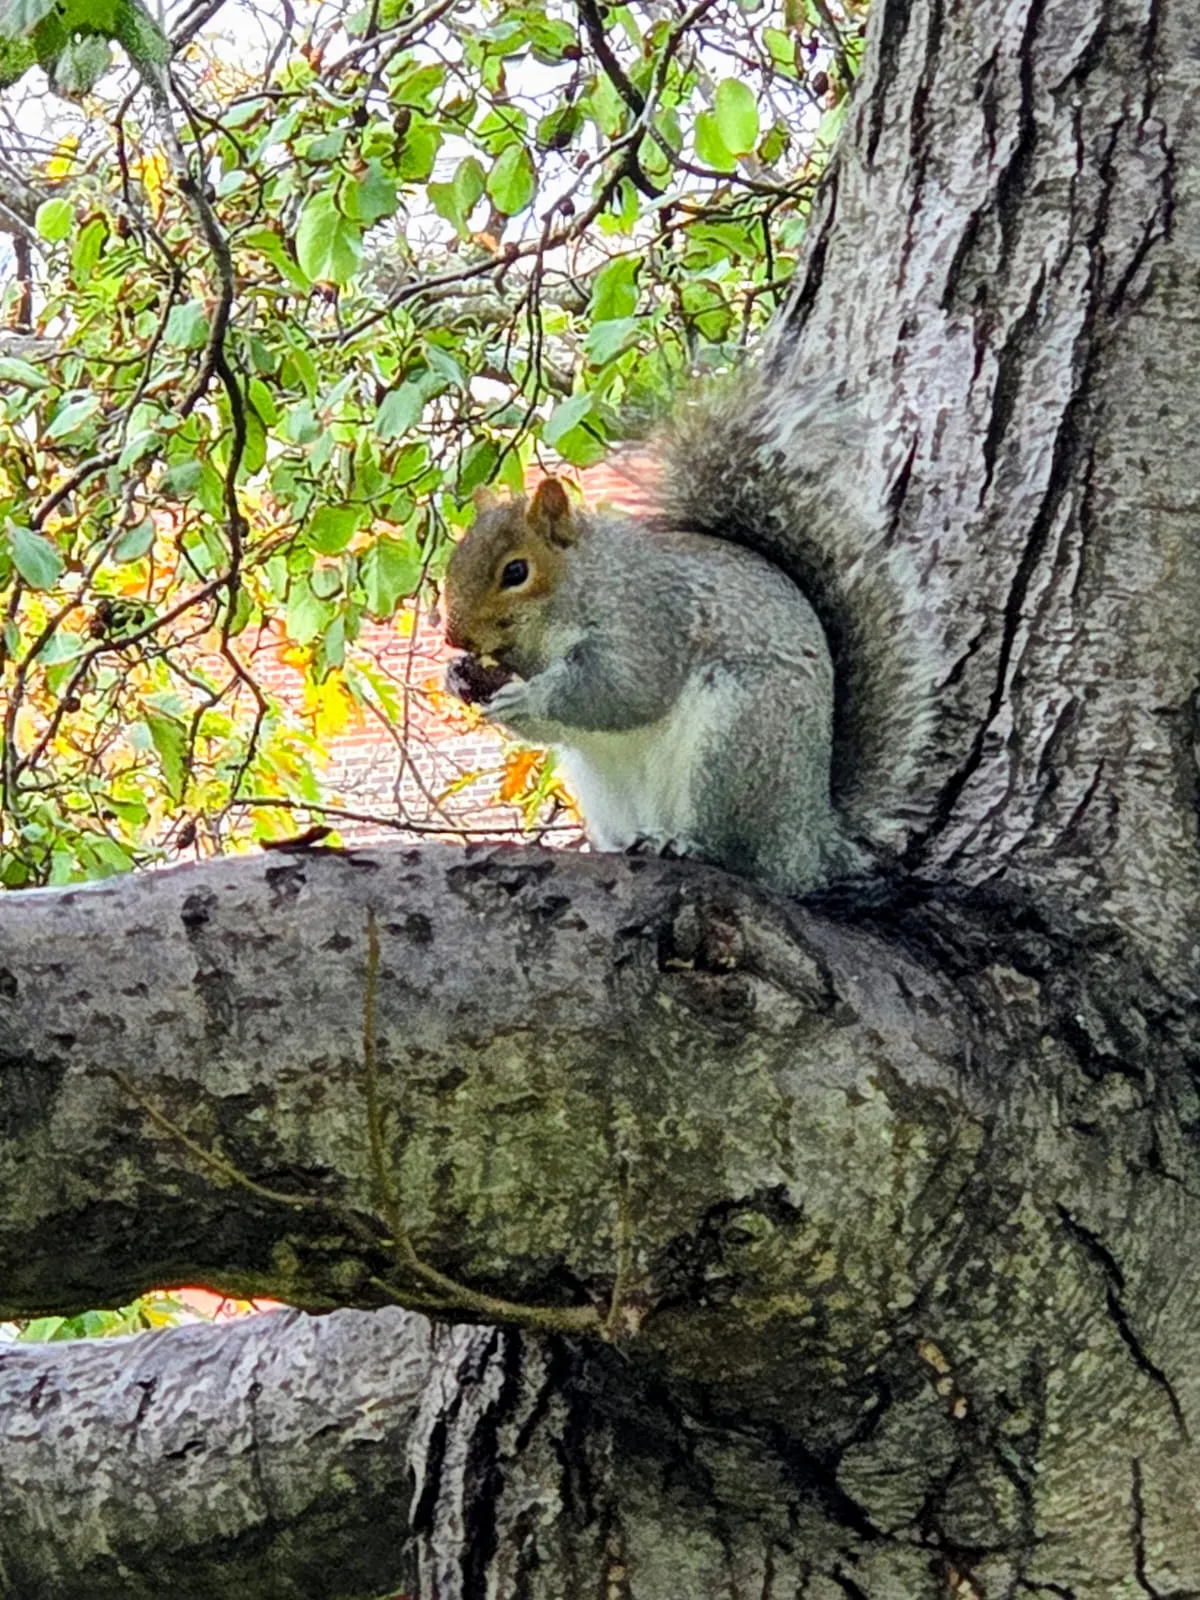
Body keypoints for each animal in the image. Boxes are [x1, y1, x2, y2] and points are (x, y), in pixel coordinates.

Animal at [441, 381, 931, 894]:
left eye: (516, 572)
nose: (456, 636)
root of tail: (807, 844)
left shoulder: (647, 618)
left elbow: (624, 692)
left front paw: (527, 697)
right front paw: (460, 678)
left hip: (737, 741)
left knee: (737, 853)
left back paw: (685, 845)